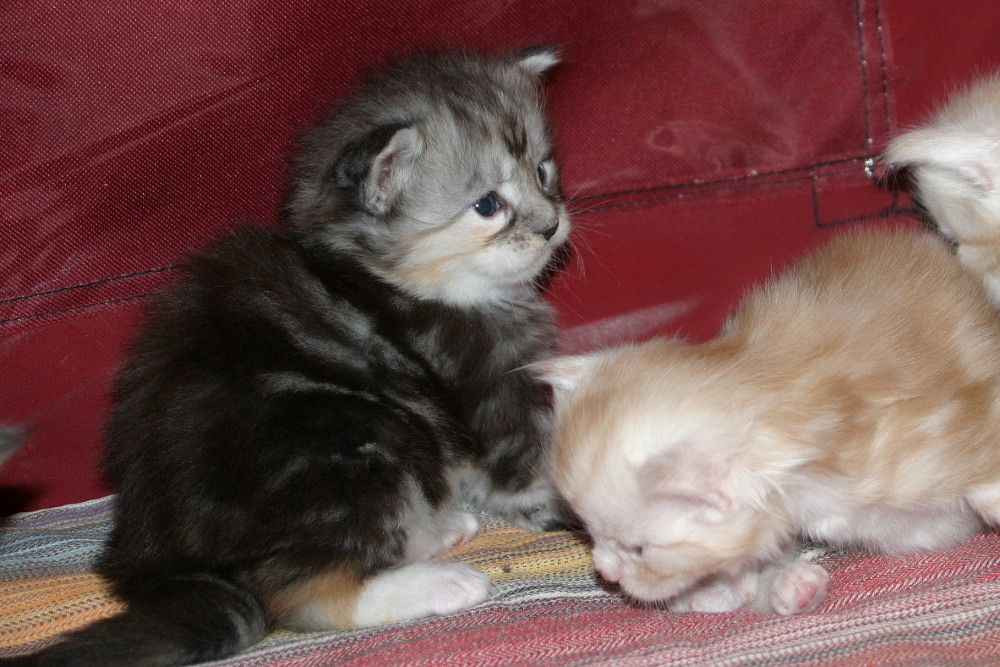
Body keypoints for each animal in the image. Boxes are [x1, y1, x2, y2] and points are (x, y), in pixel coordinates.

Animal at [5, 47, 570, 667]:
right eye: (487, 205)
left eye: (543, 172)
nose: (551, 226)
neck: (397, 282)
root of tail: (162, 553)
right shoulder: (485, 387)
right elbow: (530, 464)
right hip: (355, 441)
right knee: (304, 594)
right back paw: (438, 580)